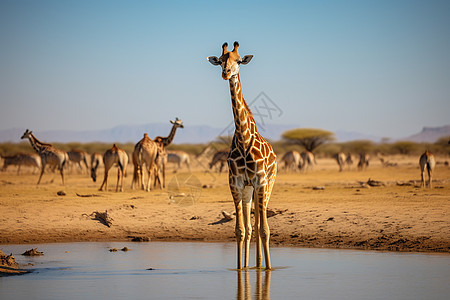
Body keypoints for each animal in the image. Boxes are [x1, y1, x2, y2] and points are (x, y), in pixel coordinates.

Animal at [208, 41, 278, 270]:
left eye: (238, 61)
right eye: (221, 60)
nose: (226, 73)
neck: (243, 138)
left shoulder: (261, 182)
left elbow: (264, 230)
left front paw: (268, 269)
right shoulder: (236, 183)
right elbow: (240, 230)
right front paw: (241, 269)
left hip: (267, 185)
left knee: (260, 225)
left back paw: (260, 265)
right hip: (249, 190)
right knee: (250, 227)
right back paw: (252, 265)